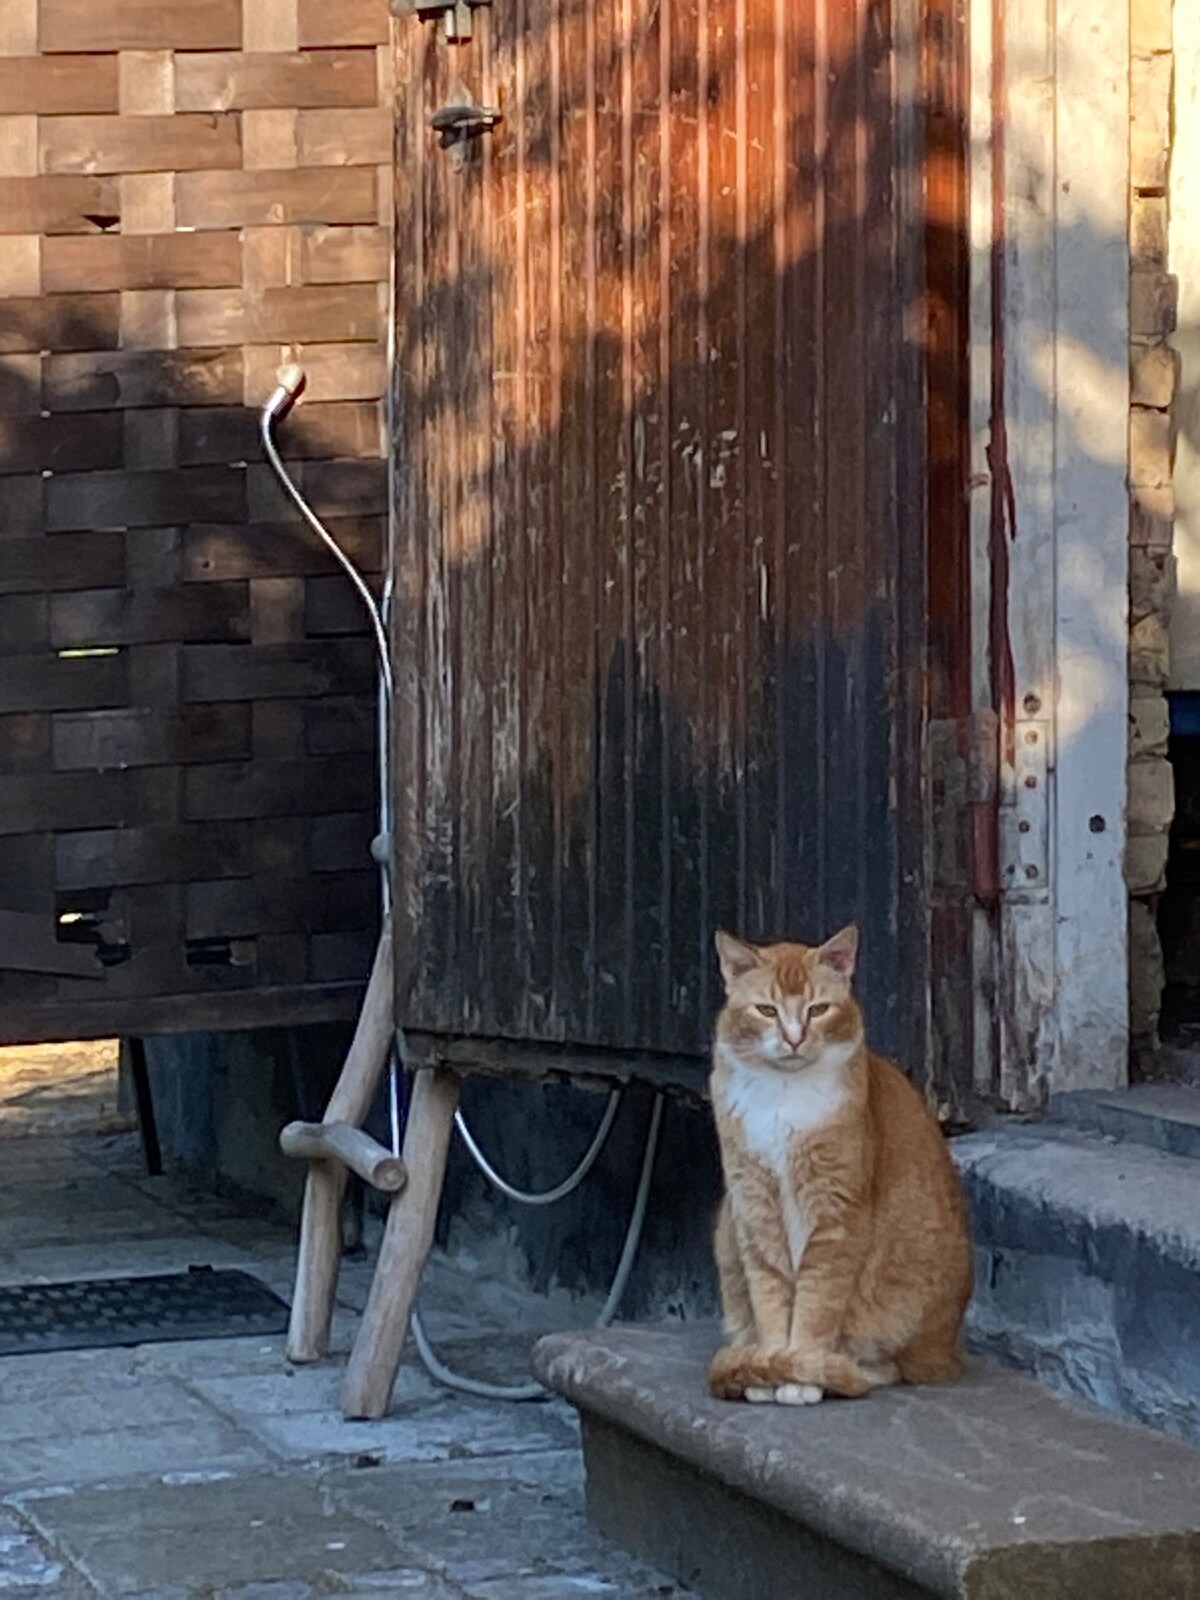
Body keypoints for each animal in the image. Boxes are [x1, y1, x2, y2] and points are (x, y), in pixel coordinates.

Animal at [710, 928, 972, 1401]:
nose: (794, 1038)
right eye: (766, 1010)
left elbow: (816, 1304)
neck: (783, 1094)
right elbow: (770, 1298)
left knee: (897, 1366)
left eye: (817, 1009)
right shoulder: (754, 1208)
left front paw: (800, 1372)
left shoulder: (835, 1215)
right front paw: (771, 1363)